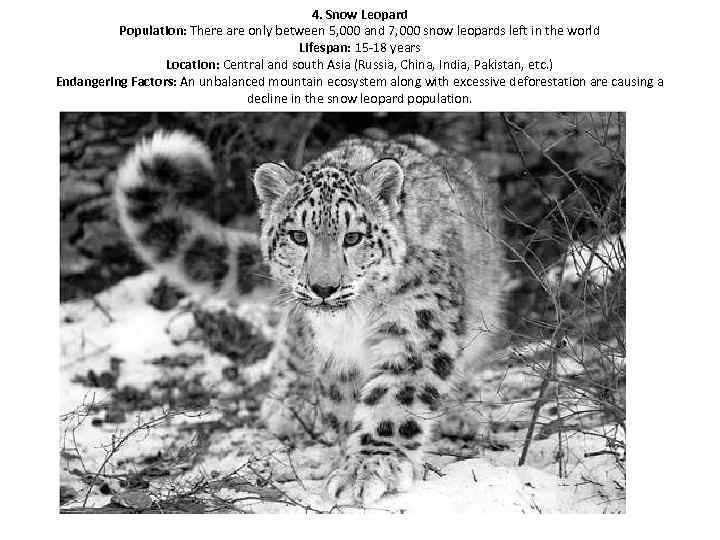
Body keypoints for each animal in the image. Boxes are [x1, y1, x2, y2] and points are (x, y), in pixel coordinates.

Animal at [115, 129, 505, 506]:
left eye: (354, 237)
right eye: (298, 236)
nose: (323, 287)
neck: (354, 322)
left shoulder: (414, 329)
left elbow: (394, 400)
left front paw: (367, 468)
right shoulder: (334, 354)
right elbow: (342, 407)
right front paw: (344, 458)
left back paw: (459, 414)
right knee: (291, 337)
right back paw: (289, 404)